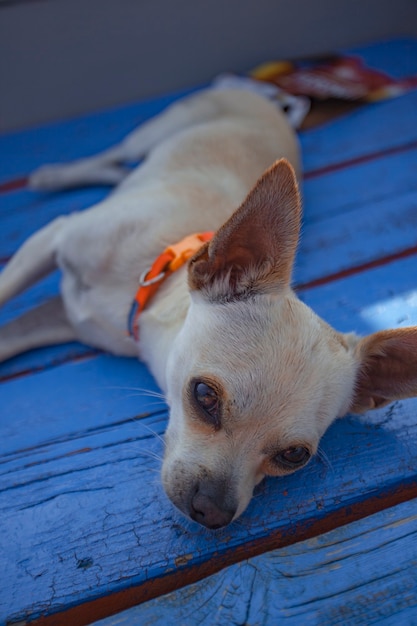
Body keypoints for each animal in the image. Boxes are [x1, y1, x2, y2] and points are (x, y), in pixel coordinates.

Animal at [0, 89, 416, 528]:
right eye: (204, 396)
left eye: (293, 456)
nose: (212, 511)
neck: (150, 285)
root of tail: (266, 99)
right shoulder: (51, 238)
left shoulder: (58, 318)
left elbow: (7, 338)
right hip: (156, 130)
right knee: (118, 151)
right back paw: (55, 174)